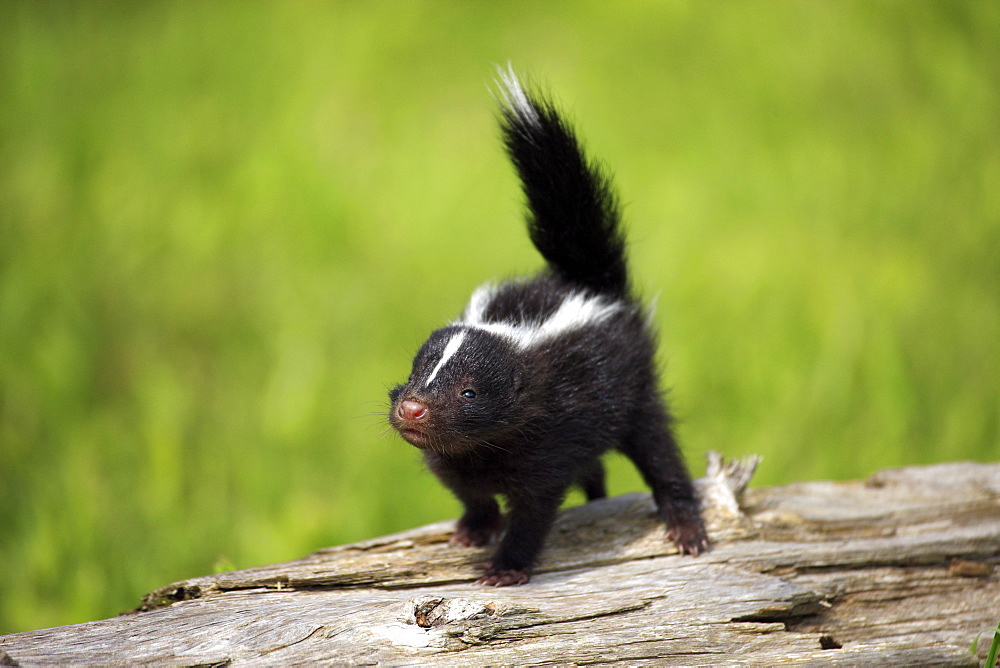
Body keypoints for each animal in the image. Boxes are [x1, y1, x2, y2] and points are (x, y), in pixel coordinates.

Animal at [386, 70, 708, 588]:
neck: (484, 448)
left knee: (660, 452)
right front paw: (474, 528)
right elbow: (469, 492)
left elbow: (534, 512)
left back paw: (684, 526)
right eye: (417, 374)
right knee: (597, 467)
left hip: (633, 391)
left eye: (469, 392)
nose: (412, 408)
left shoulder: (548, 442)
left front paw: (506, 568)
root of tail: (587, 281)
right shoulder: (454, 457)